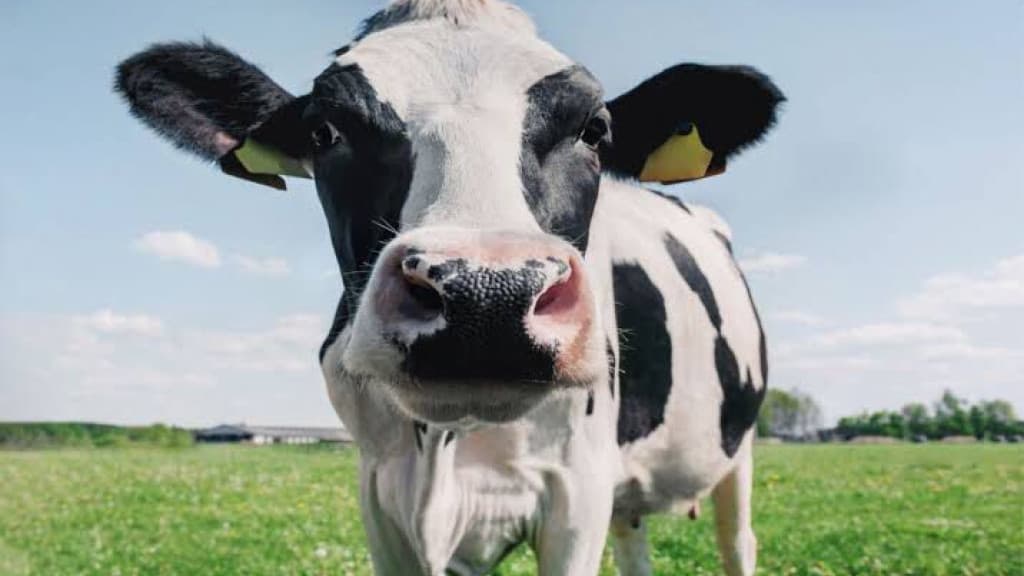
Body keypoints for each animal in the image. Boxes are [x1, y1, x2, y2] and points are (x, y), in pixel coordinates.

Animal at [114, 1, 783, 574]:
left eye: (594, 130)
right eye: (326, 132)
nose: (487, 296)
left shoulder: (578, 491)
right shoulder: (381, 494)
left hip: (739, 450)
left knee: (739, 541)